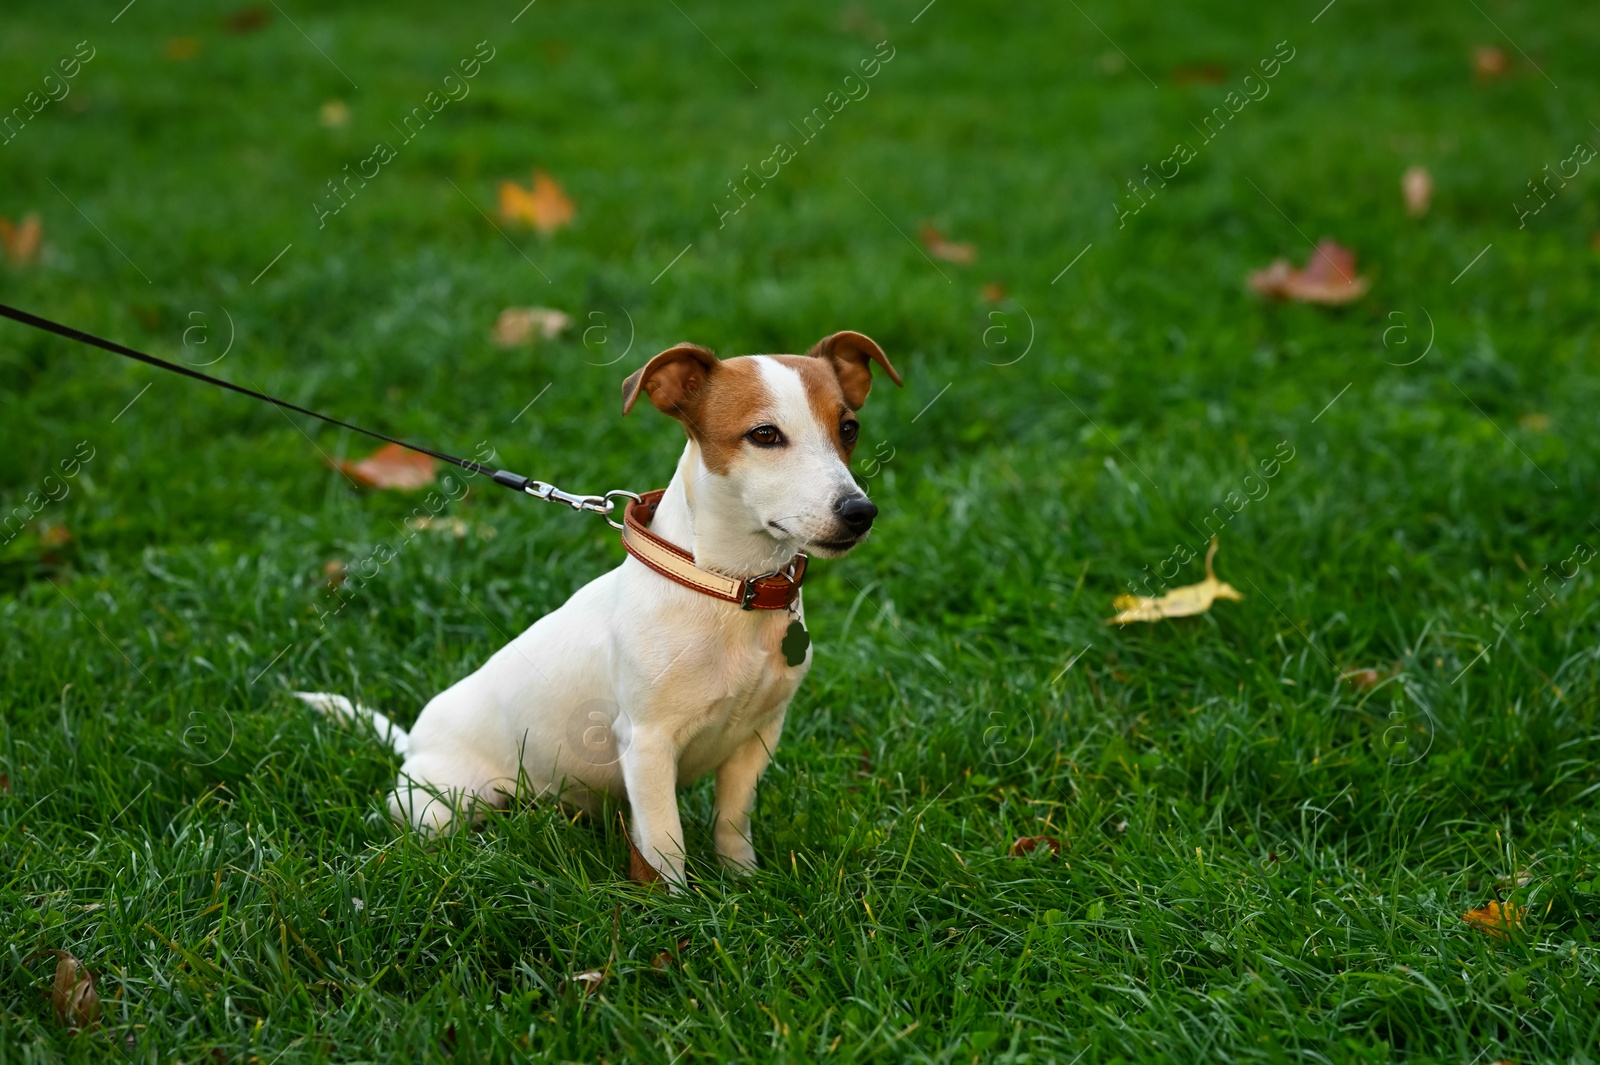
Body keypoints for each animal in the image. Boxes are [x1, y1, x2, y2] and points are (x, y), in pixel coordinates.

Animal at [297, 327, 902, 882]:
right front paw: (676, 909)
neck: (729, 588)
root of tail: (411, 746)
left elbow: (732, 824)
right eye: (765, 434)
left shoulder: (755, 740)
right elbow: (665, 847)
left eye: (848, 428)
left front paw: (744, 883)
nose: (859, 512)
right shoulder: (648, 745)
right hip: (440, 806)